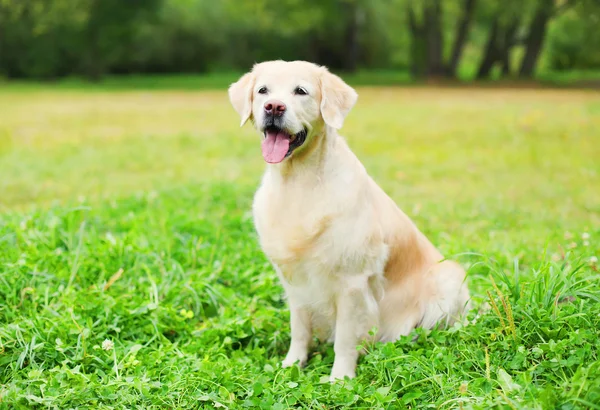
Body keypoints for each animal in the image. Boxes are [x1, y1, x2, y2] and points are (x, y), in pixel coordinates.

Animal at [227, 59, 472, 380]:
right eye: (263, 91)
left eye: (300, 91)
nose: (274, 107)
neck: (299, 181)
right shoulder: (295, 281)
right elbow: (299, 329)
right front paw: (293, 364)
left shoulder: (352, 282)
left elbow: (345, 337)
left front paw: (340, 378)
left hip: (448, 279)